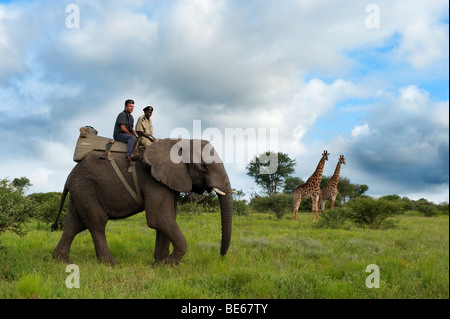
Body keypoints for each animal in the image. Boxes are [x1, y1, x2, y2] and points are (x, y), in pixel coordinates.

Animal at [53, 139, 232, 266]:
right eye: (204, 166)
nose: (221, 257)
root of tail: (69, 177)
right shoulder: (153, 179)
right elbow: (159, 218)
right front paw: (169, 263)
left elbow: (168, 218)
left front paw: (159, 263)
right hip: (86, 187)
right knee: (97, 222)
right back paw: (111, 264)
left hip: (81, 191)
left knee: (75, 223)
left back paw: (61, 261)